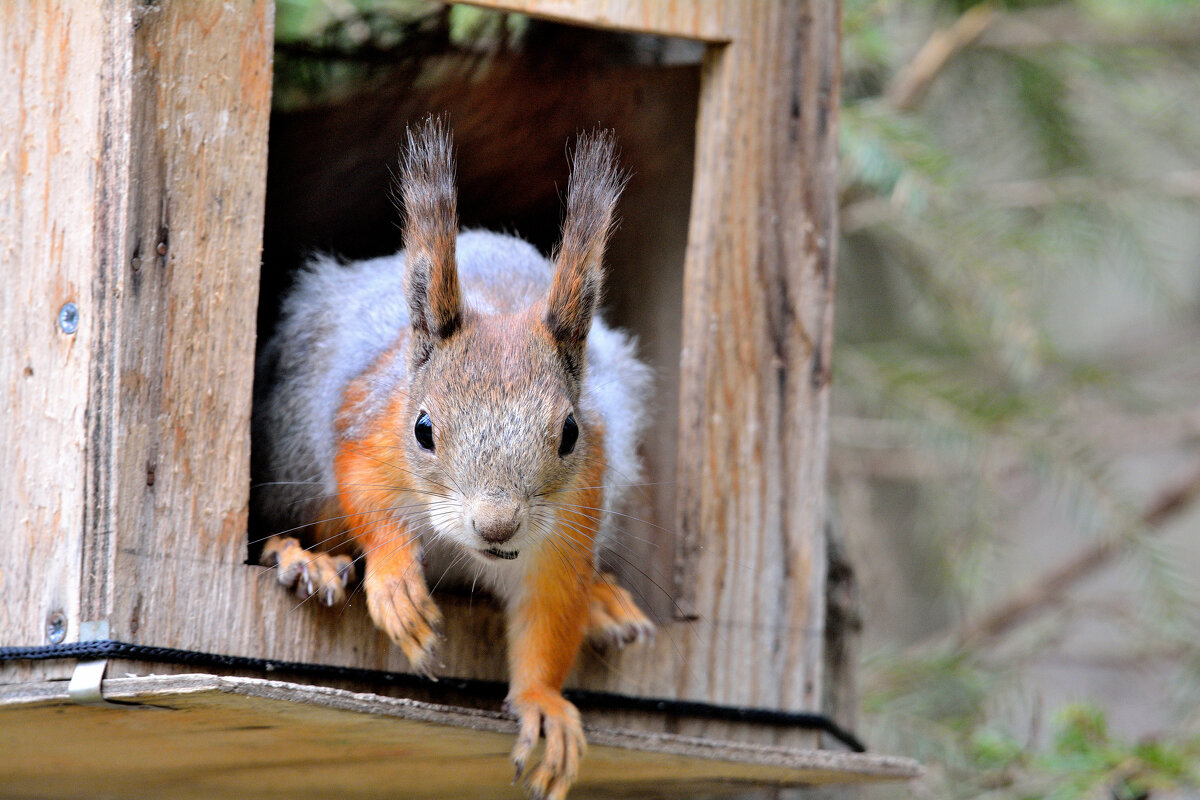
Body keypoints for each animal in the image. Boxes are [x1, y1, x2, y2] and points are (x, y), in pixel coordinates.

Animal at [252, 118, 657, 800]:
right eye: (423, 429)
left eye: (570, 433)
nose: (497, 527)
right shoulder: (371, 430)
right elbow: (367, 496)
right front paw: (396, 584)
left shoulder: (574, 515)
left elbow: (550, 613)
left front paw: (543, 703)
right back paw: (302, 558)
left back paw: (606, 602)